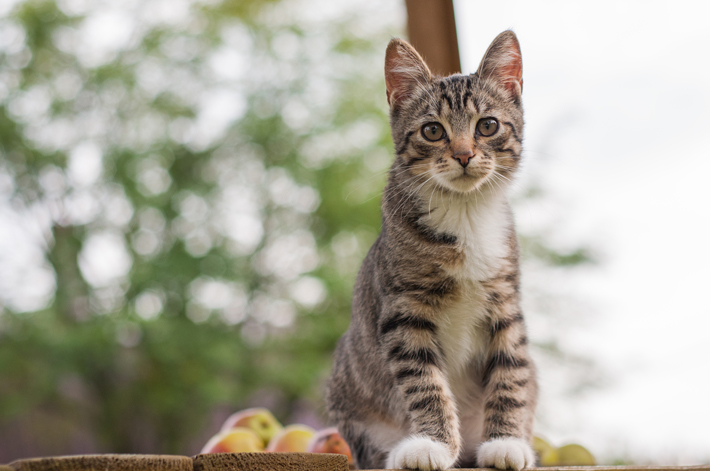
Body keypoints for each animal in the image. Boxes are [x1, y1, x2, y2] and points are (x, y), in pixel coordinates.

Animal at [328, 31, 540, 470]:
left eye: (488, 125)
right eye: (432, 131)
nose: (463, 155)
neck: (465, 212)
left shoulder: (506, 302)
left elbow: (511, 372)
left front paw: (506, 441)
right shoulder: (403, 310)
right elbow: (424, 382)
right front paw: (433, 444)